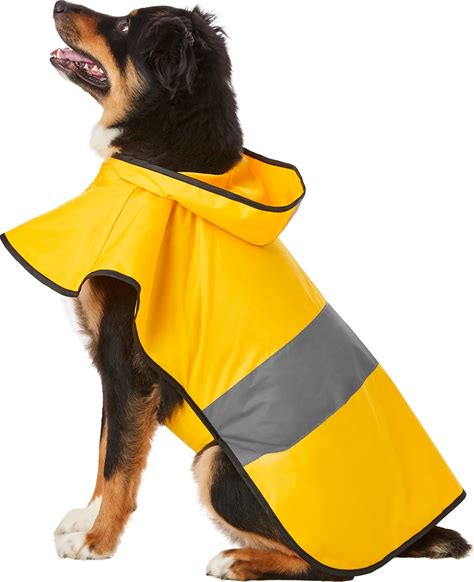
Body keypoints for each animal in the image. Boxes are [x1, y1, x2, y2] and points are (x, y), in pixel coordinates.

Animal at [9, 2, 469, 580]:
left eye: (125, 24)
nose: (57, 6)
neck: (169, 161)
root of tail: (411, 534)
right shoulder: (109, 363)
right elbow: (104, 449)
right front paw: (85, 518)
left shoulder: (128, 366)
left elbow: (118, 464)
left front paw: (96, 541)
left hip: (214, 462)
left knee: (321, 566)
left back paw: (235, 558)